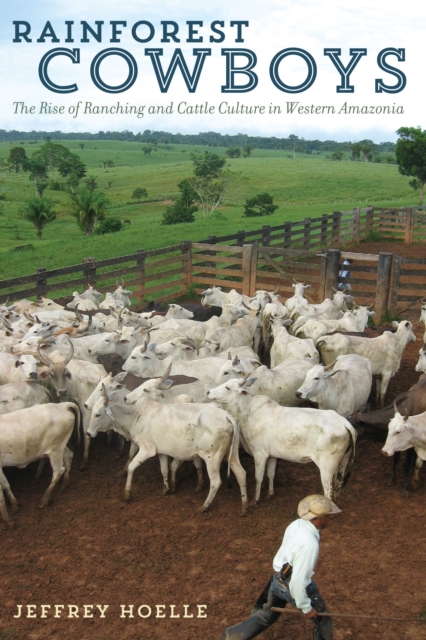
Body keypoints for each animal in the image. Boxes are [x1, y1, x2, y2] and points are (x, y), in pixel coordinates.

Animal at [206, 378, 356, 502]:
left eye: (228, 388)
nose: (208, 391)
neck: (247, 413)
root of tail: (344, 423)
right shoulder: (272, 455)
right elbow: (270, 474)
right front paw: (270, 494)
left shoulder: (260, 454)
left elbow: (259, 477)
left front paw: (255, 500)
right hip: (342, 461)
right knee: (338, 484)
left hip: (326, 466)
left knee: (328, 491)